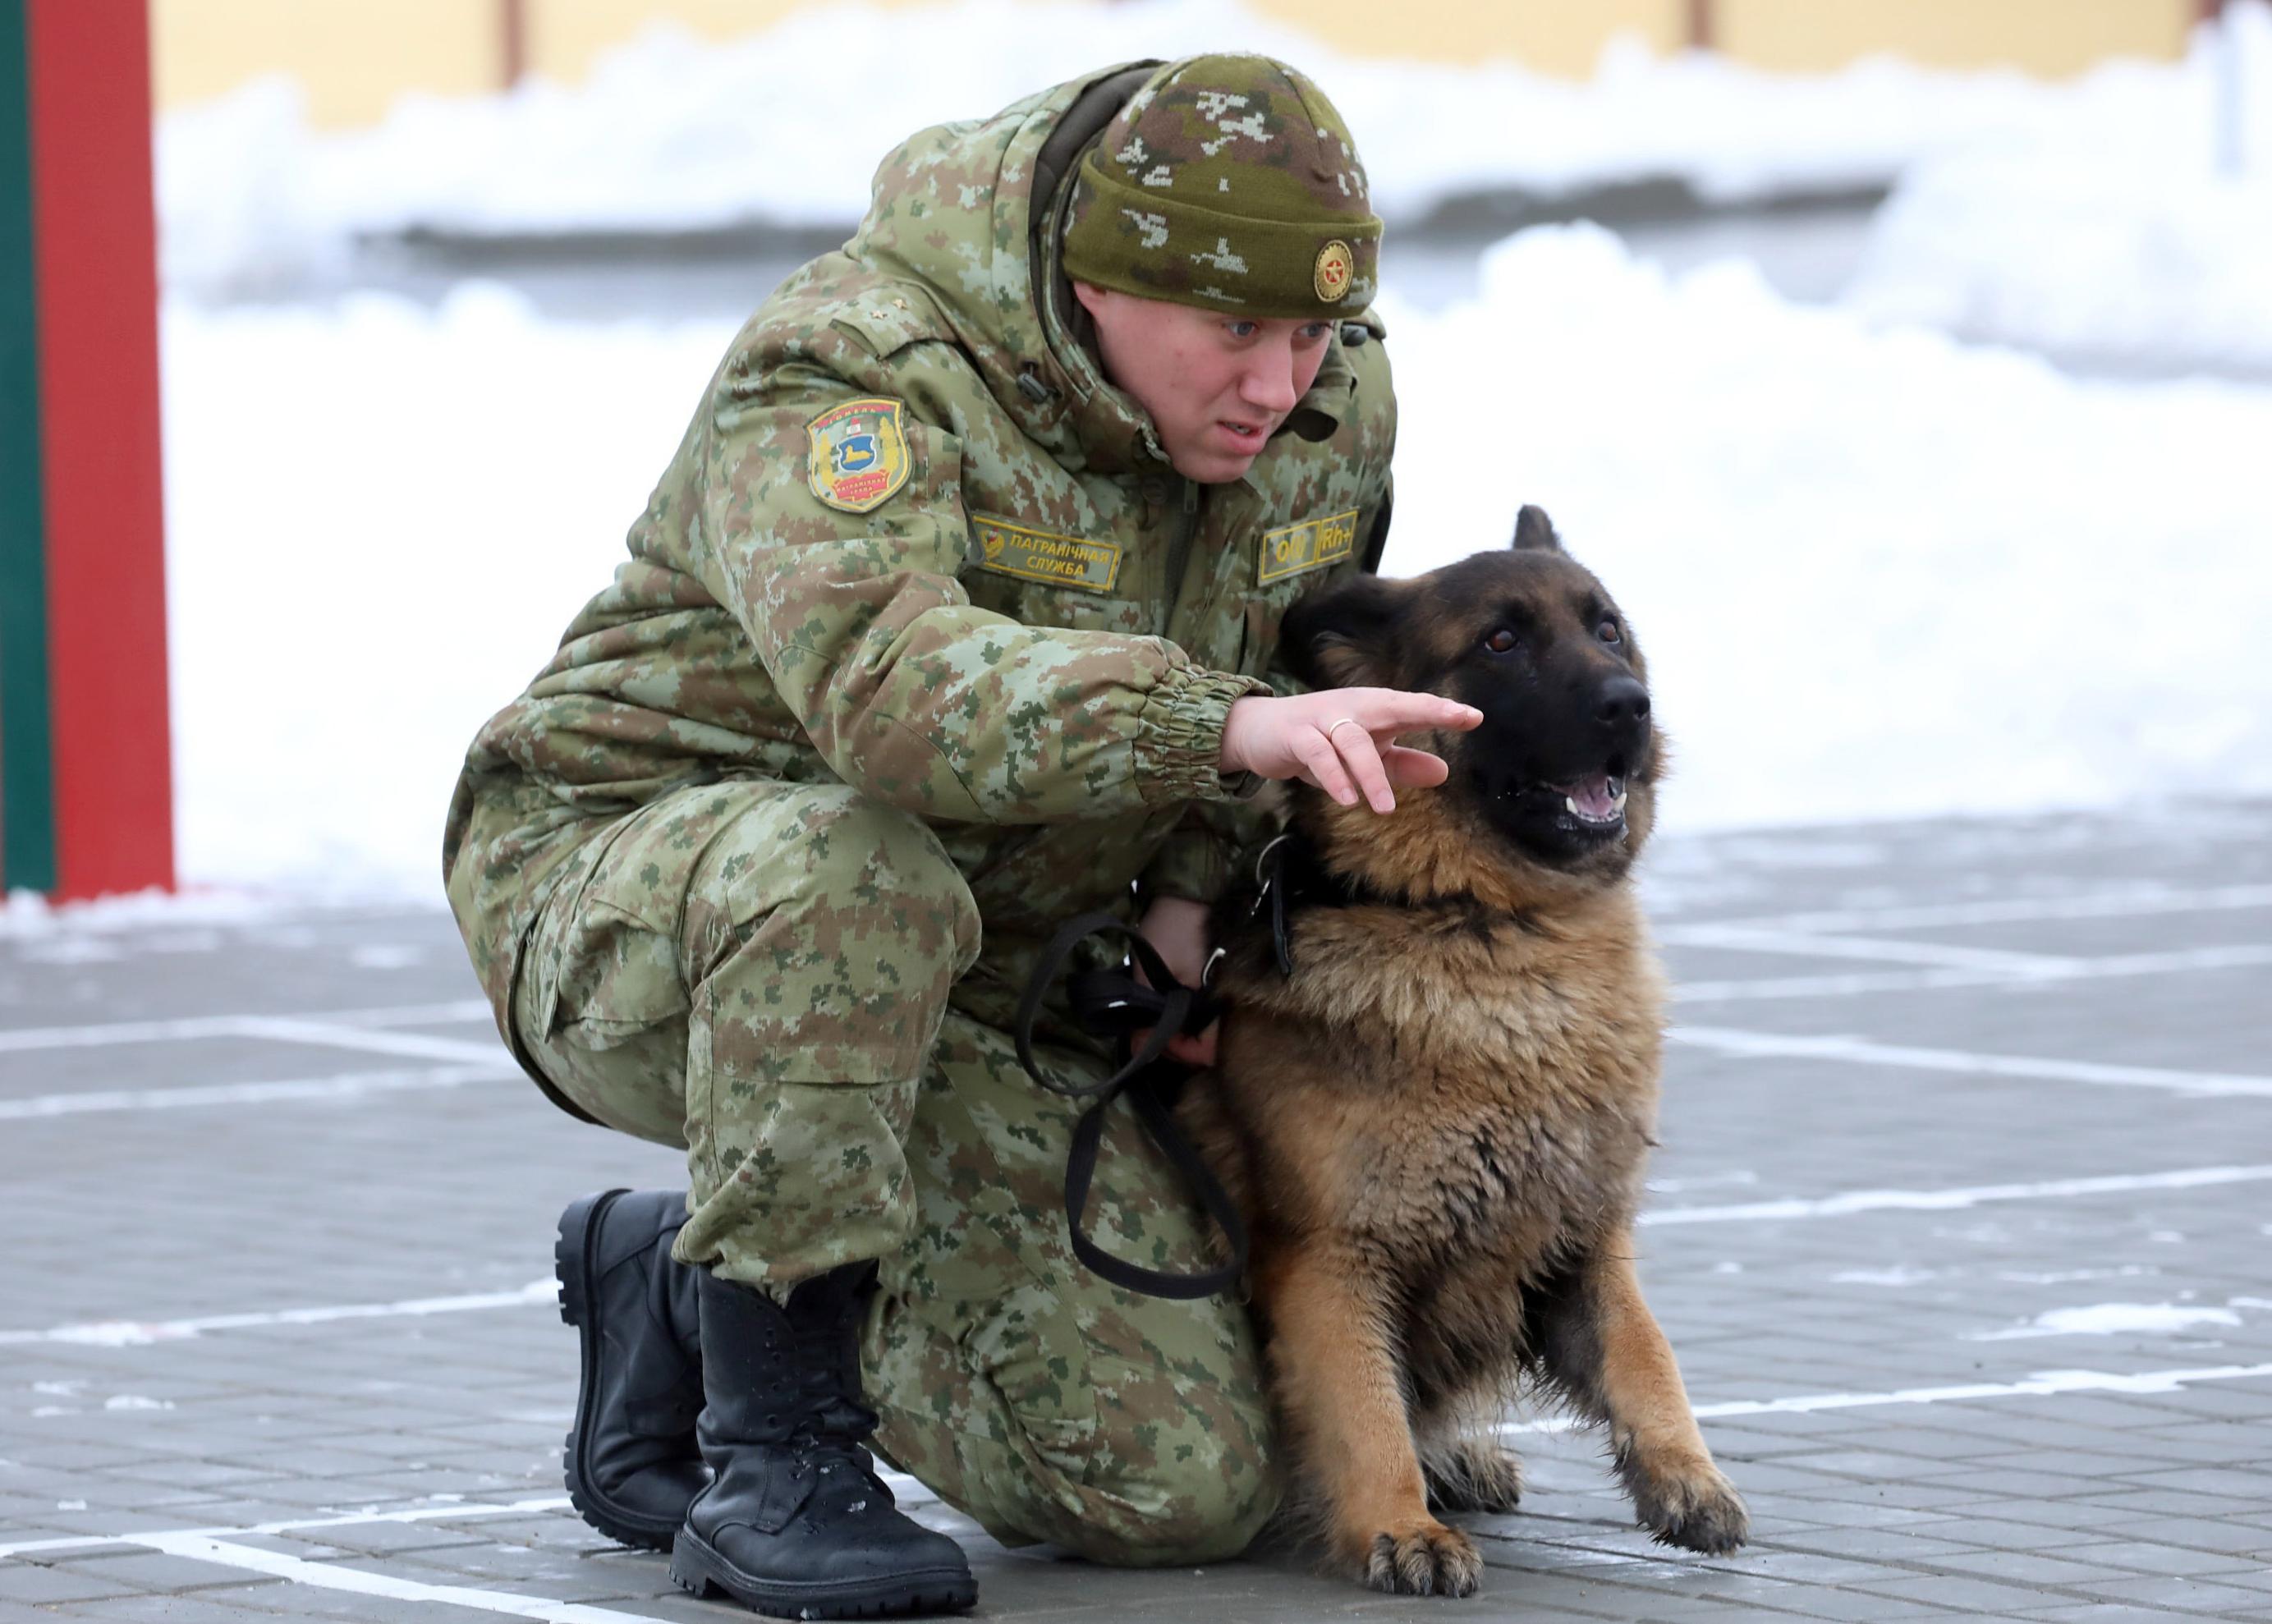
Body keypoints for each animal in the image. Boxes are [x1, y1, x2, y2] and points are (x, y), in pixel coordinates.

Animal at [1199, 511, 1745, 1599]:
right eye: (1500, 642)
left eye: (1607, 628)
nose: (1630, 706)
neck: (1488, 929)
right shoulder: (1329, 1260)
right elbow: (1365, 1408)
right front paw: (1399, 1526)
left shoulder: (1583, 1233)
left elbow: (1644, 1348)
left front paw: (1683, 1473)